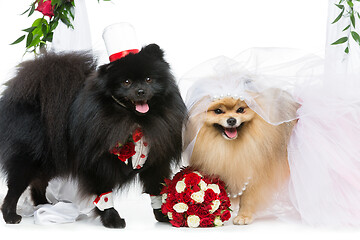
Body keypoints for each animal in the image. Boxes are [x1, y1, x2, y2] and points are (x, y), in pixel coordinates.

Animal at [0, 44, 186, 228]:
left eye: (149, 79)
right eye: (126, 82)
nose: (140, 91)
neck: (135, 121)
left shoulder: (156, 161)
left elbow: (157, 189)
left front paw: (163, 215)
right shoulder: (98, 164)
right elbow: (104, 194)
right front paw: (112, 219)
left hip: (50, 159)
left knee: (39, 183)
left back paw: (43, 204)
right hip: (28, 159)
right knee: (15, 188)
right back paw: (11, 215)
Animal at [186, 96, 296, 225]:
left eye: (240, 110)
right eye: (218, 111)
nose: (231, 120)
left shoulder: (255, 173)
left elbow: (248, 198)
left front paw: (244, 216)